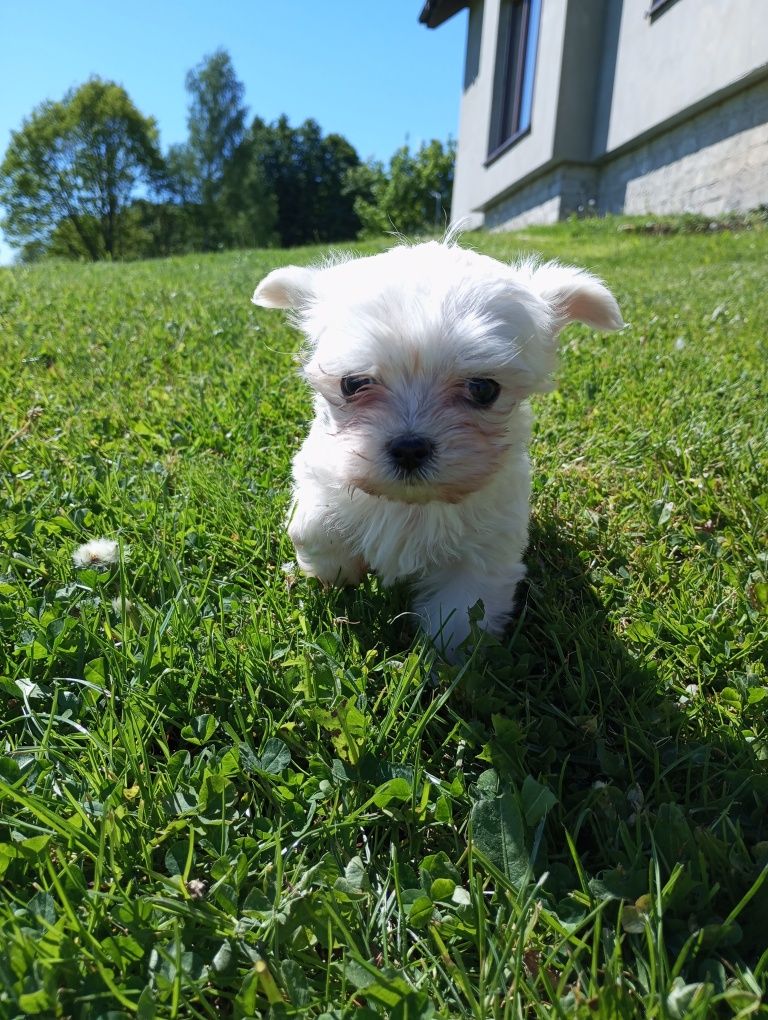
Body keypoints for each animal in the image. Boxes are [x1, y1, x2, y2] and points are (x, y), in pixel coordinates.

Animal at [252, 239, 624, 656]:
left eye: (483, 389)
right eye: (352, 384)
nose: (410, 447)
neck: (412, 503)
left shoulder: (482, 555)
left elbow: (462, 614)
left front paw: (444, 663)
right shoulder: (319, 470)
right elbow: (314, 526)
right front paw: (336, 569)